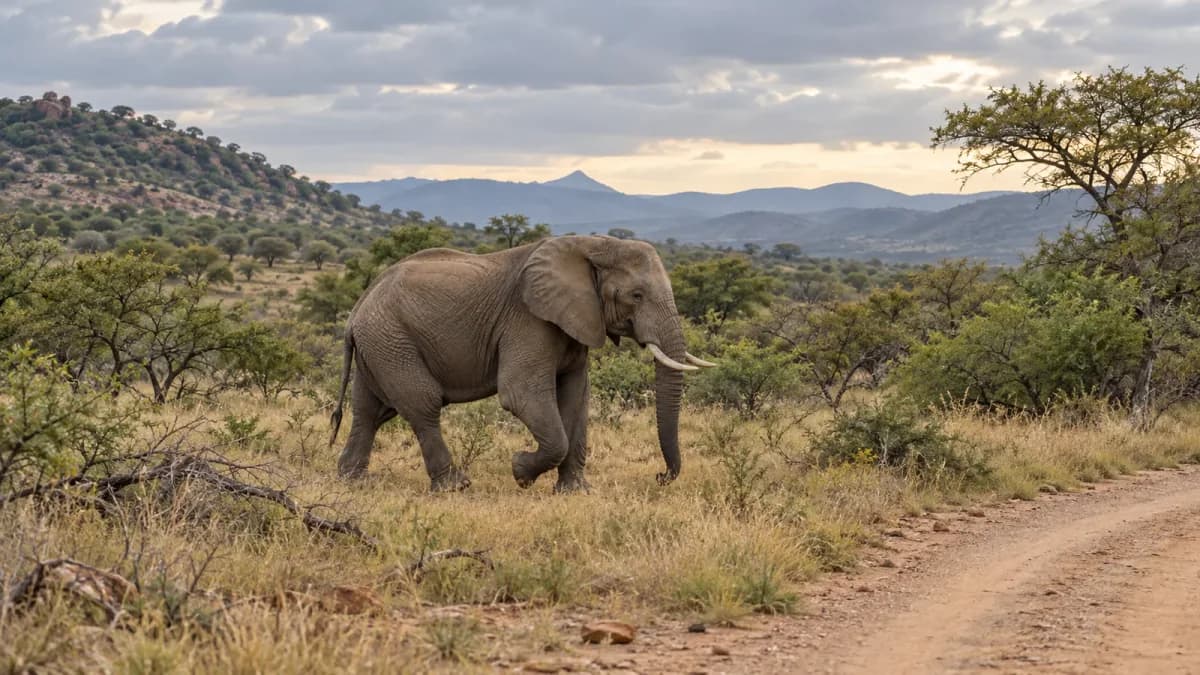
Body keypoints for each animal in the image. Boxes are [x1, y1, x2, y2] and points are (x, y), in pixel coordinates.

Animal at [328, 234, 715, 493]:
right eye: (636, 295)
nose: (660, 477)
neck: (593, 245)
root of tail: (358, 307)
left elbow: (576, 398)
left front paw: (574, 492)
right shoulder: (528, 321)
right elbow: (521, 395)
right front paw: (520, 471)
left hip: (380, 345)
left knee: (370, 411)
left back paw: (353, 481)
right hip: (391, 340)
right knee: (422, 404)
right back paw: (456, 486)